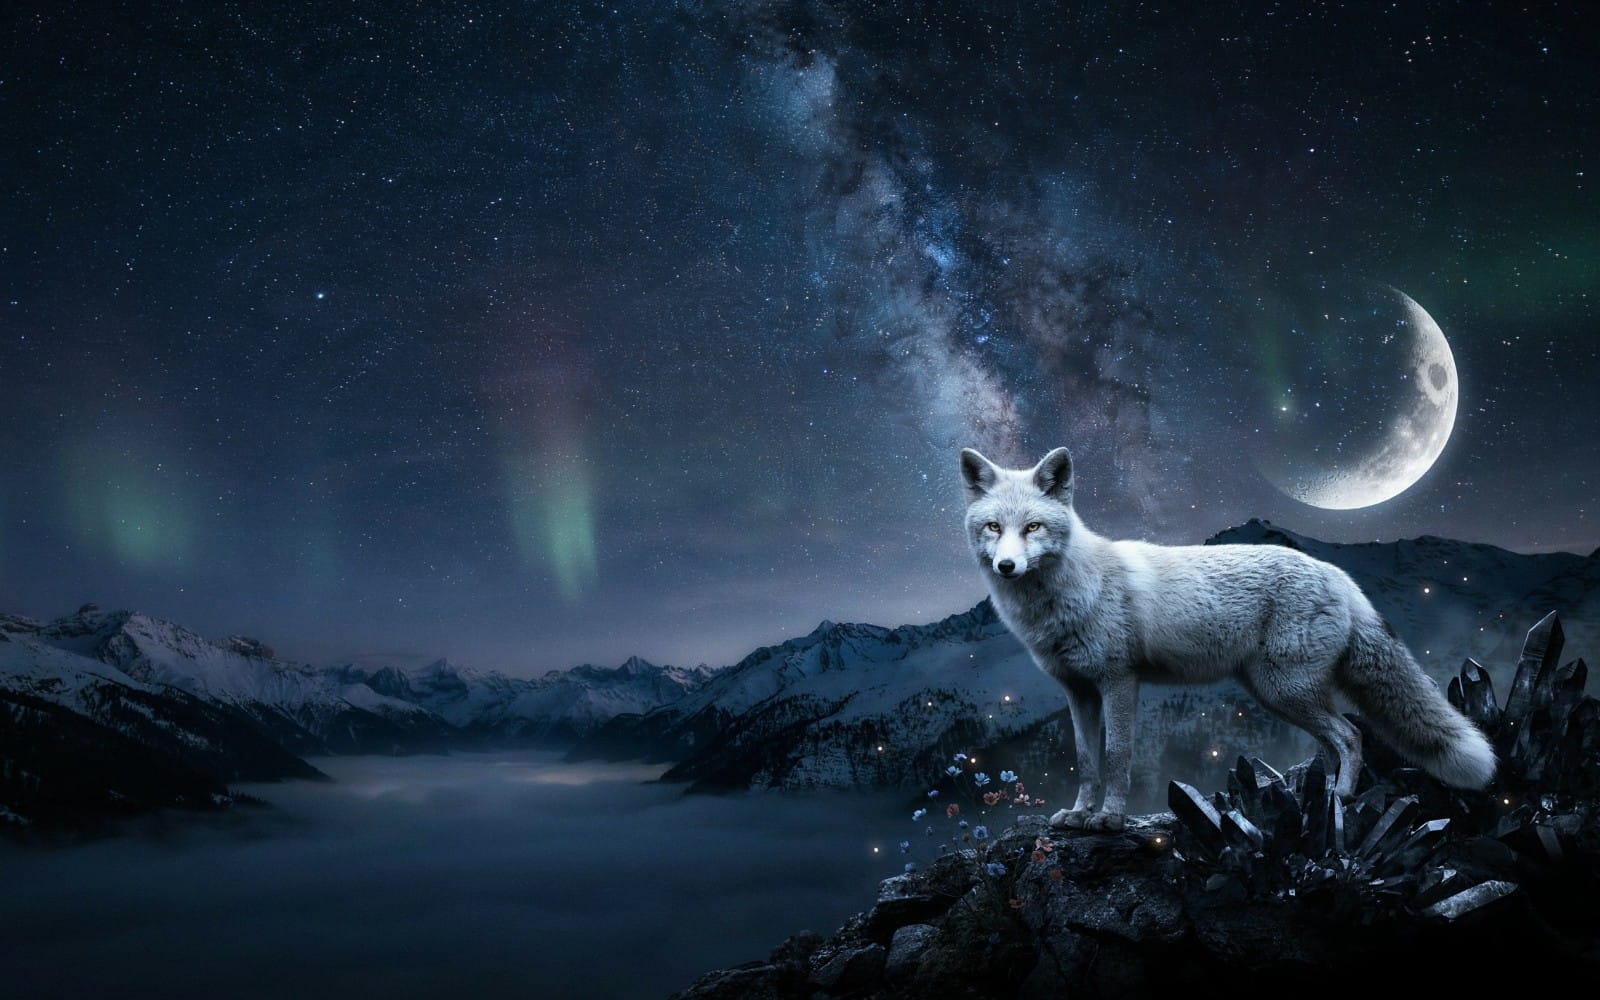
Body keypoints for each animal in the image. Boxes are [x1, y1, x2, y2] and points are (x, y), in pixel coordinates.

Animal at [960, 445, 1496, 833]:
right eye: (993, 527)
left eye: (1033, 527)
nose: (1007, 566)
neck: (1063, 600)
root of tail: (1338, 575)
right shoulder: (1077, 691)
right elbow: (1086, 761)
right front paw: (1078, 814)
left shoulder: (1118, 681)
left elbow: (1116, 757)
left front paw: (1109, 819)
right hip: (1275, 694)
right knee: (1334, 741)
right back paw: (1320, 800)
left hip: (1285, 690)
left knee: (1350, 734)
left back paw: (1341, 797)